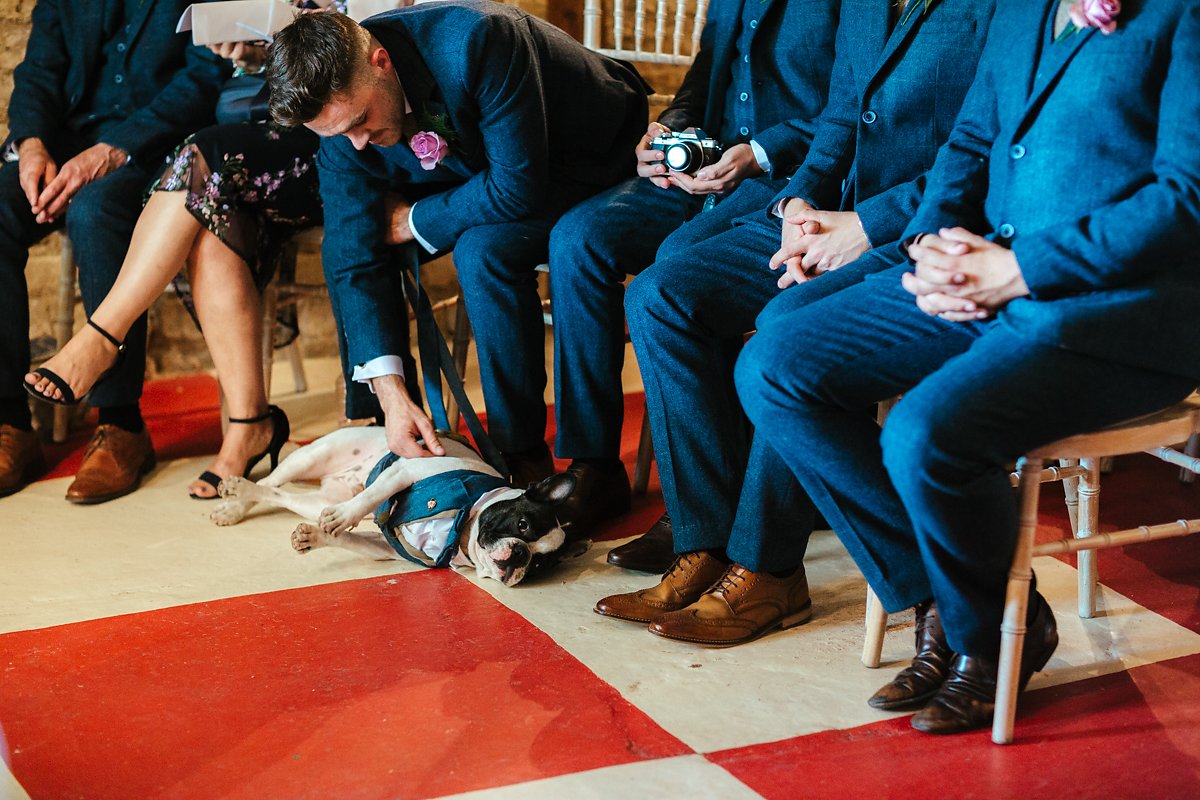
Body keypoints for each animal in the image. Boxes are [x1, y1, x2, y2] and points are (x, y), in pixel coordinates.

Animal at [213, 429, 583, 585]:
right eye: (522, 525)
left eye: (538, 566)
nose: (521, 555)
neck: (462, 532)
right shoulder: (405, 472)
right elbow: (371, 498)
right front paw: (345, 518)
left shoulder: (388, 548)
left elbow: (349, 539)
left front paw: (316, 537)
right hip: (312, 456)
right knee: (271, 481)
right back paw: (234, 498)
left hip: (320, 498)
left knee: (280, 495)